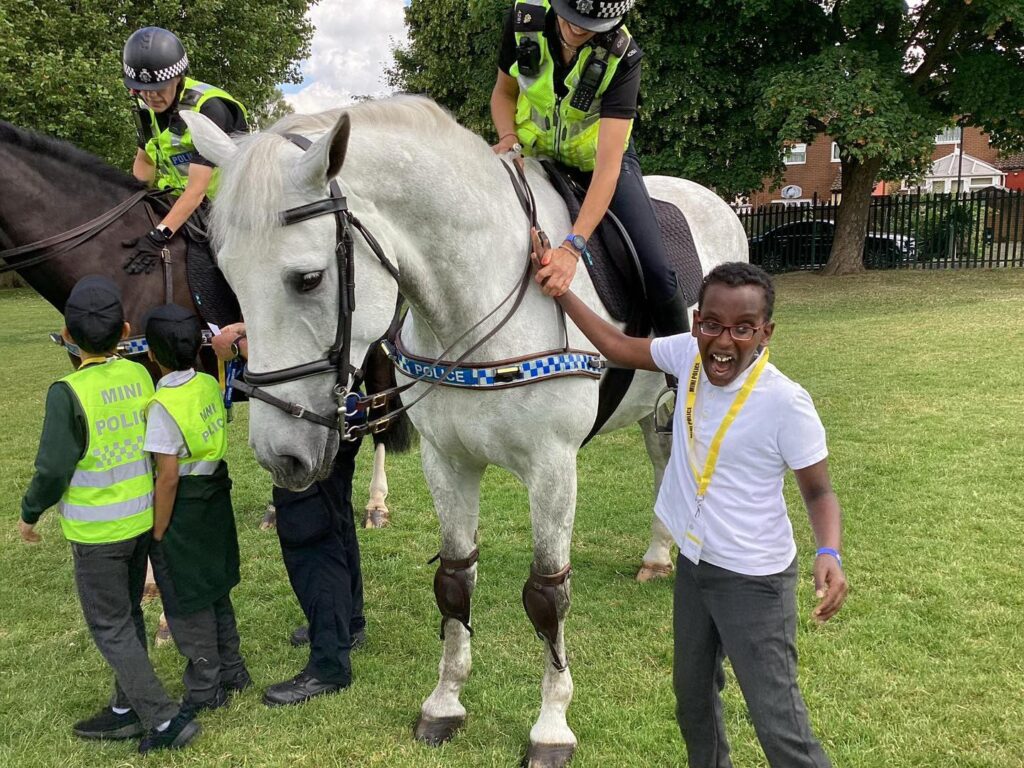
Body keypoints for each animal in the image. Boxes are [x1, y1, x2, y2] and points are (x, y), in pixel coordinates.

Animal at [184, 99, 745, 765]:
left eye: (308, 279)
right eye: (227, 276)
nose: (281, 455)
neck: (473, 300)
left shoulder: (553, 467)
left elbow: (547, 594)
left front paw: (550, 726)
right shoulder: (446, 462)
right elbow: (454, 581)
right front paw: (445, 702)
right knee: (662, 456)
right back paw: (660, 554)